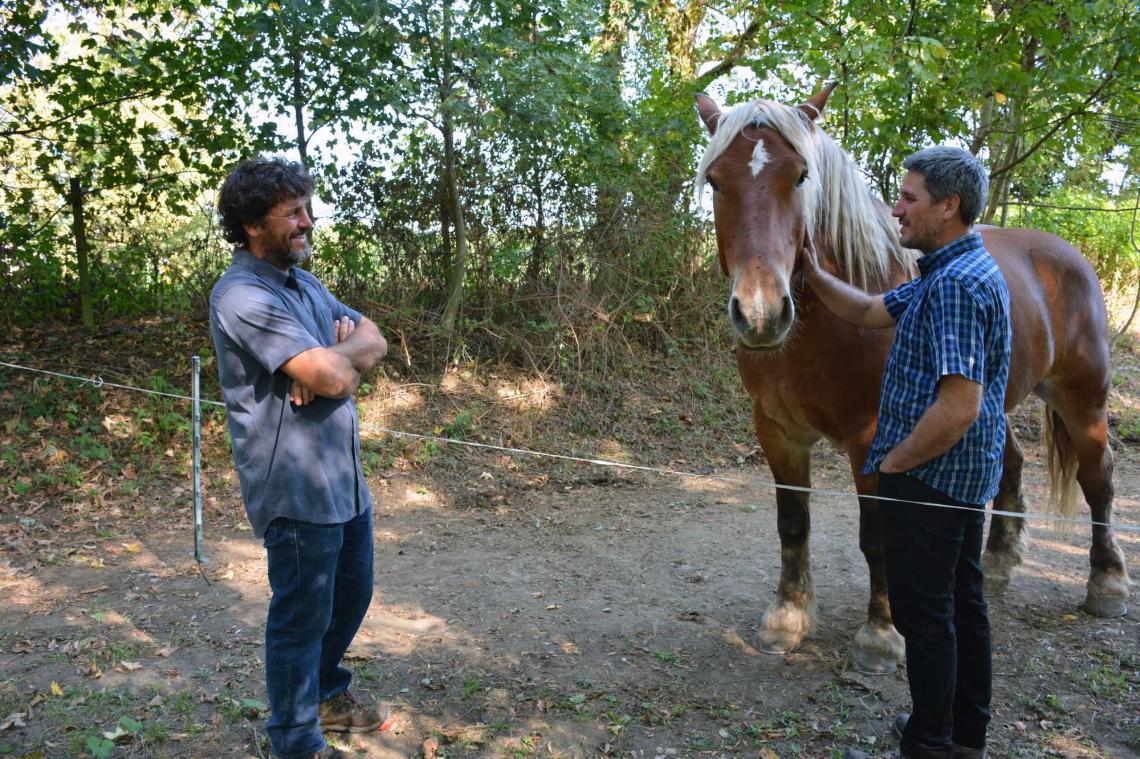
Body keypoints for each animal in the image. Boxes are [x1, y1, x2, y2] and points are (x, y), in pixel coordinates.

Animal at [693, 84, 1130, 674]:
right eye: (716, 181)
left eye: (801, 176)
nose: (760, 313)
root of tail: (1064, 253)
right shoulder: (778, 433)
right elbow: (793, 523)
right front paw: (787, 619)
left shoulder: (875, 439)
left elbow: (878, 533)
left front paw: (881, 634)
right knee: (1010, 465)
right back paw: (998, 563)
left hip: (1083, 401)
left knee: (1098, 480)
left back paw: (1106, 583)